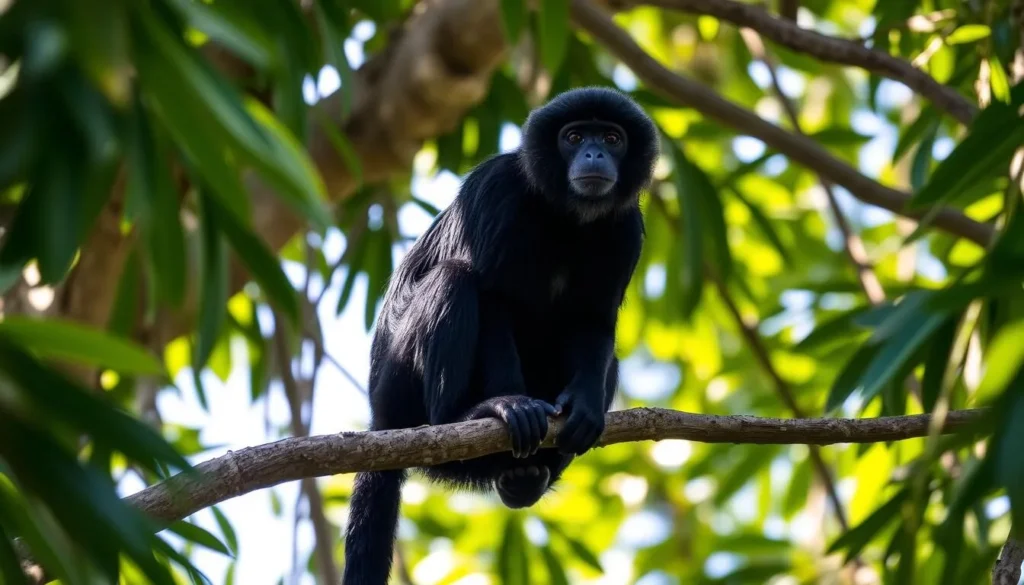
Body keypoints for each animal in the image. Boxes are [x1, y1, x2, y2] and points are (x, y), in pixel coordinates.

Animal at [341, 86, 659, 585]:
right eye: (574, 137)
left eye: (612, 137)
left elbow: (593, 322)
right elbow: (491, 295)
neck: (564, 218)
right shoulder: (497, 190)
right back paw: (463, 418)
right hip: (397, 389)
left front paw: (585, 406)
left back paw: (527, 475)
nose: (594, 154)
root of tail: (381, 421)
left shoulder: (626, 228)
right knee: (453, 278)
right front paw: (509, 404)